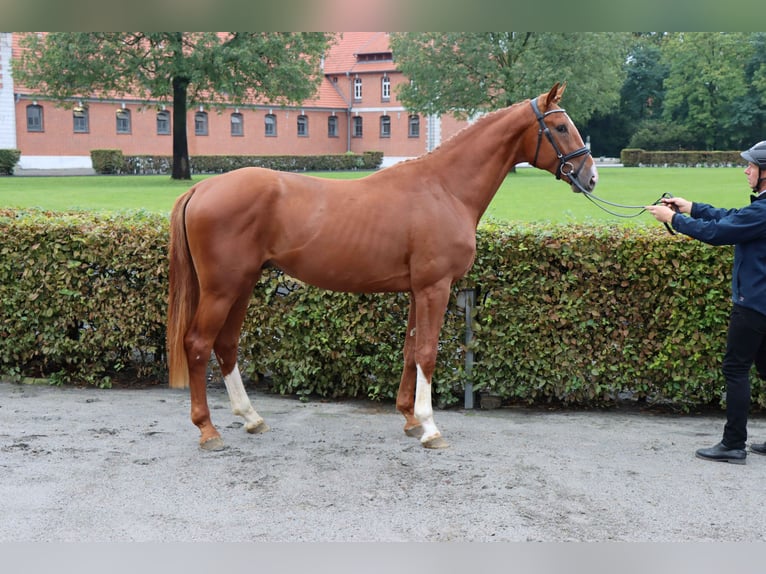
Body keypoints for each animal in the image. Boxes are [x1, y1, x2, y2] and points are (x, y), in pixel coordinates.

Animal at [168, 82, 600, 450]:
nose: (590, 176)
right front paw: (430, 428)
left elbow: (410, 350)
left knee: (226, 345)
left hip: (242, 285)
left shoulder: (416, 290)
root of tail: (202, 187)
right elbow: (427, 352)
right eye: (561, 126)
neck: (444, 188)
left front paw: (410, 419)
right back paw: (208, 430)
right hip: (222, 289)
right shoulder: (435, 287)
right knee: (198, 344)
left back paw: (251, 418)